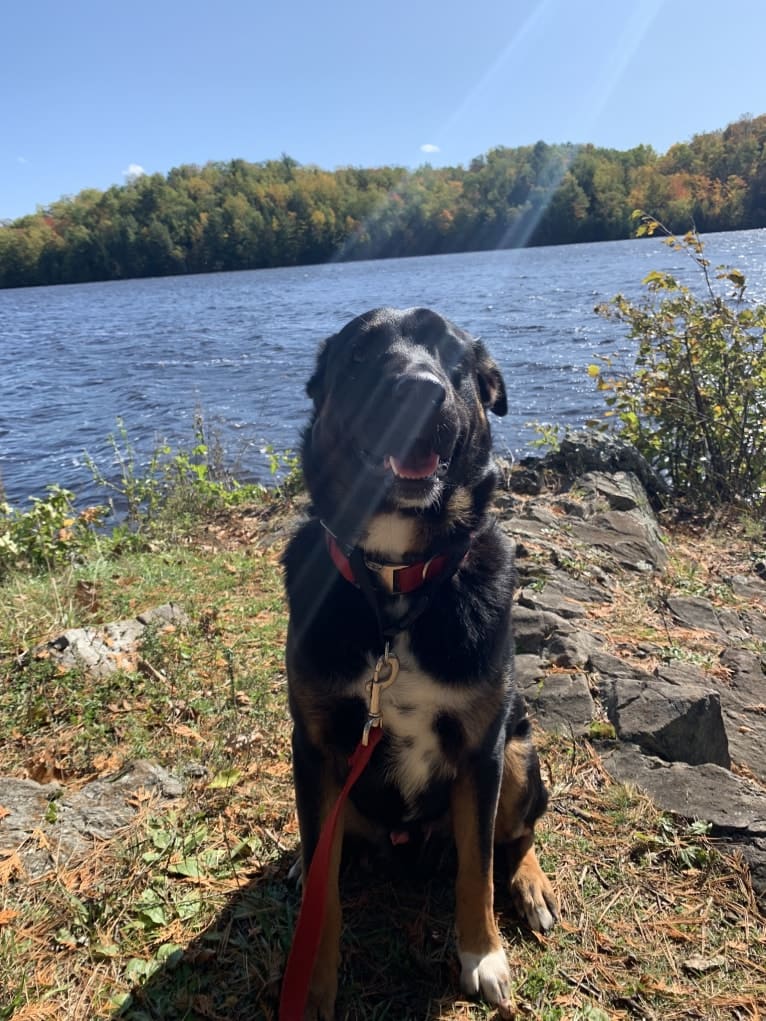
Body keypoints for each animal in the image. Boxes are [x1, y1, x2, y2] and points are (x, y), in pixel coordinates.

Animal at [281, 306, 559, 1016]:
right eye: (359, 355)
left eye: (454, 360)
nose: (417, 391)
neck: (394, 583)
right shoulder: (317, 747)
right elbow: (323, 892)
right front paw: (313, 981)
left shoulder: (482, 751)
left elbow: (477, 872)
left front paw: (482, 956)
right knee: (328, 850)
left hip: (520, 755)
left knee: (513, 838)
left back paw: (531, 884)